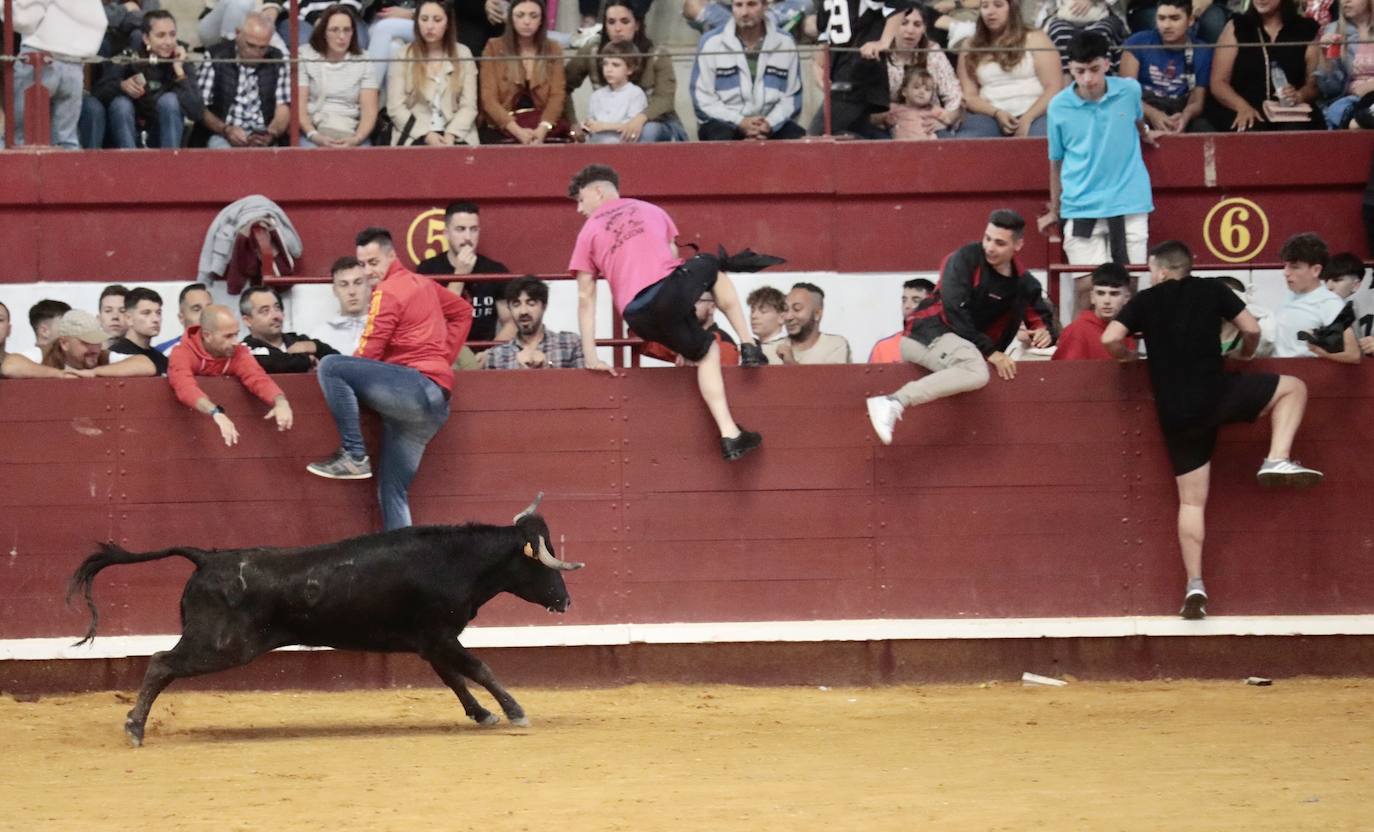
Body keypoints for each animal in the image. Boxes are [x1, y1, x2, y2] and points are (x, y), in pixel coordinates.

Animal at [66, 494, 582, 752]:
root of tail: (207, 557)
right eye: (542, 565)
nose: (566, 601)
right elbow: (479, 669)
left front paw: (483, 714)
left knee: (161, 663)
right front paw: (515, 711)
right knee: (159, 662)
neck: (455, 560)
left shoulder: (431, 641)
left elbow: (455, 679)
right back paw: (134, 728)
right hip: (223, 645)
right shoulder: (440, 636)